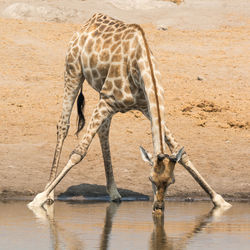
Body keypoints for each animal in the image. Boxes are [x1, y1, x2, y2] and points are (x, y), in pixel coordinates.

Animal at [28, 13, 231, 213]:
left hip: (101, 94)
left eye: (171, 182)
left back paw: (114, 193)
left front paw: (219, 199)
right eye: (150, 179)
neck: (140, 63)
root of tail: (87, 22)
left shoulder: (144, 106)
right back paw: (50, 192)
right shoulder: (107, 99)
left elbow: (181, 151)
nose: (158, 208)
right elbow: (79, 152)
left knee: (103, 131)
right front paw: (38, 199)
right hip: (73, 71)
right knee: (63, 125)